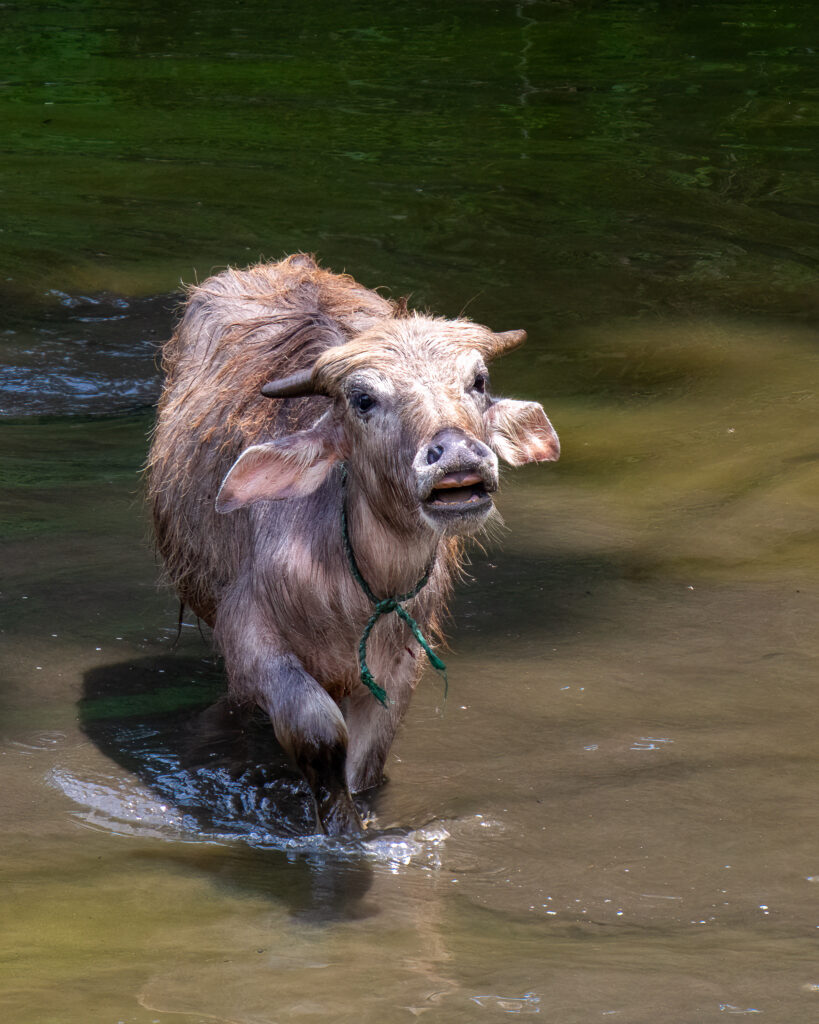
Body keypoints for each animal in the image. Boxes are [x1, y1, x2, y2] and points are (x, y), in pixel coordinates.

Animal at [145, 253, 556, 831]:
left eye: (478, 380)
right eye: (363, 399)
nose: (456, 453)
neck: (357, 586)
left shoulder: (402, 659)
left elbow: (367, 759)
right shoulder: (248, 635)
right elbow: (317, 731)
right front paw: (337, 828)